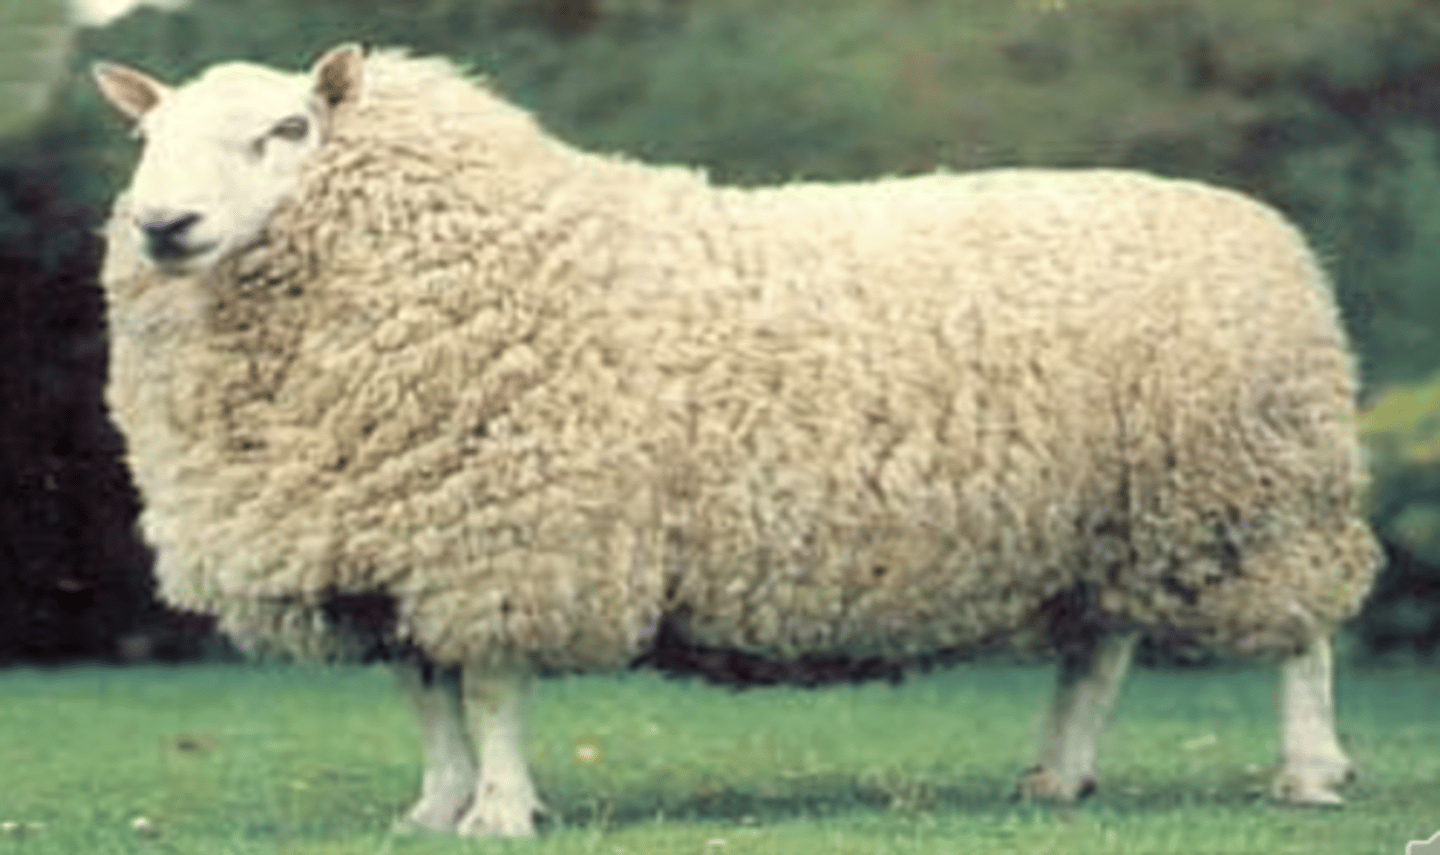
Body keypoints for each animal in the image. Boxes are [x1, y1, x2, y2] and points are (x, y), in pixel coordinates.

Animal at [92, 44, 1379, 837]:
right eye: (145, 139)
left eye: (289, 128)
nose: (164, 224)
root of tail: (1267, 230)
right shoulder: (392, 545)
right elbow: (428, 694)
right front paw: (434, 809)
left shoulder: (514, 534)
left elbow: (492, 688)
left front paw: (500, 813)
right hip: (1115, 519)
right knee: (1098, 652)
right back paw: (1057, 776)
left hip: (1266, 500)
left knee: (1304, 642)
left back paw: (1311, 774)